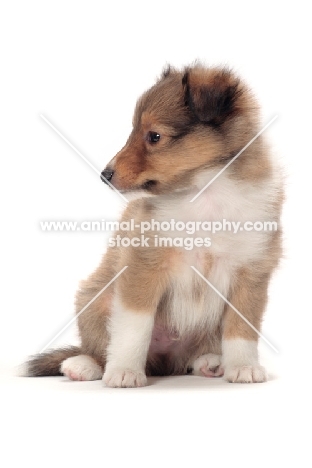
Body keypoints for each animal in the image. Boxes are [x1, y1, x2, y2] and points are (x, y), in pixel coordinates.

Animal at [25, 65, 282, 388]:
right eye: (134, 131)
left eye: (154, 136)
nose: (104, 175)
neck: (204, 193)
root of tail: (164, 362)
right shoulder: (144, 265)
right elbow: (134, 327)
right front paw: (124, 372)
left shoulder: (251, 271)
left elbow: (241, 330)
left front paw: (244, 367)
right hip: (95, 300)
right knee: (97, 348)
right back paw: (82, 366)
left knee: (193, 357)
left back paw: (211, 363)